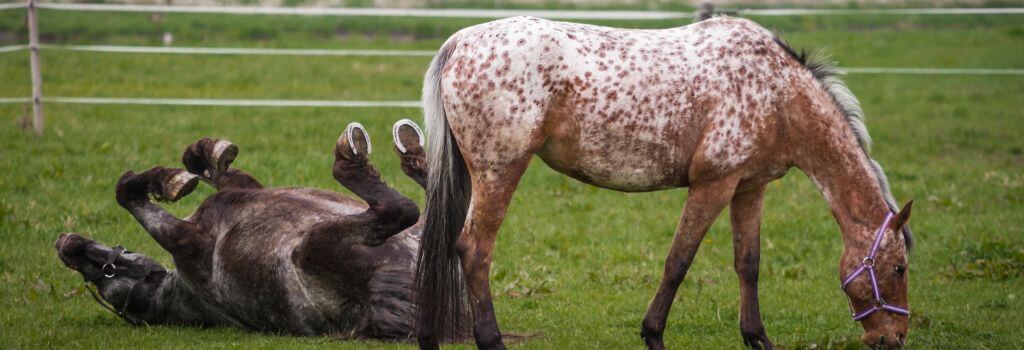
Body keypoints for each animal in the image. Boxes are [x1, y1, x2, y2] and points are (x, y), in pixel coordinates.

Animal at [55, 120, 436, 339]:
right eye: (103, 278)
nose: (68, 244)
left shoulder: (244, 190)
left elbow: (213, 173)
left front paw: (197, 159)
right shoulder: (188, 242)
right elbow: (127, 195)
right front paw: (174, 180)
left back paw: (412, 150)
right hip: (315, 245)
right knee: (400, 208)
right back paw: (357, 157)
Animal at [415, 15, 921, 347]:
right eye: (898, 268)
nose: (893, 337)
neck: (777, 94)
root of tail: (460, 41)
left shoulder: (749, 187)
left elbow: (748, 264)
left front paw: (757, 338)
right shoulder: (713, 184)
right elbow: (679, 261)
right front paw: (653, 334)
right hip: (500, 171)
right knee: (474, 250)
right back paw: (492, 340)